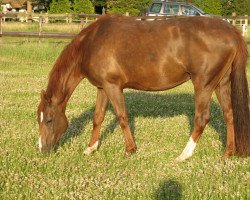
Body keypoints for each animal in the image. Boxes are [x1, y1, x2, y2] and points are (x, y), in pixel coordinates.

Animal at [37, 14, 250, 160]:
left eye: (48, 120)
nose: (42, 150)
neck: (92, 42)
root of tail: (231, 31)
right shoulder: (102, 88)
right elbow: (98, 117)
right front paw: (90, 148)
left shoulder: (113, 86)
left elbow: (122, 117)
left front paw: (129, 150)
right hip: (221, 83)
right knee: (229, 115)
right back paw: (228, 153)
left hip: (203, 84)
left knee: (202, 118)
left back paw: (184, 155)